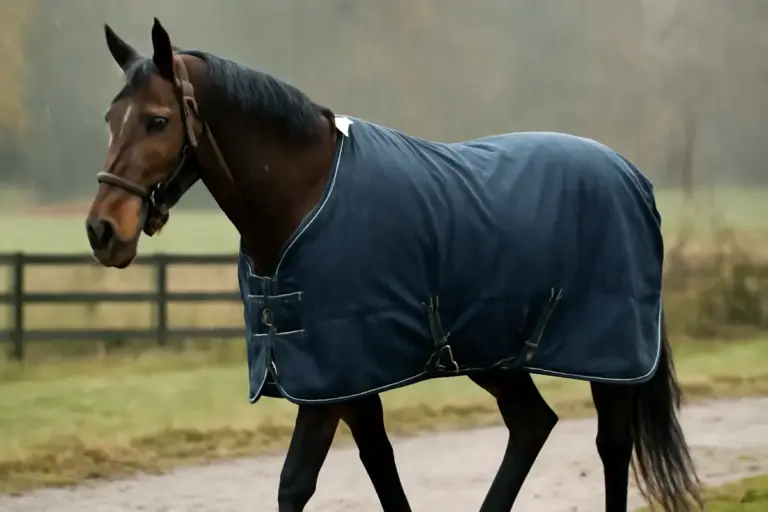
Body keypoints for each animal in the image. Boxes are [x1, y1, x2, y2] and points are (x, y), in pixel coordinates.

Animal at [85, 18, 702, 512]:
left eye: (158, 121)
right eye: (111, 119)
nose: (102, 231)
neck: (303, 198)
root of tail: (631, 176)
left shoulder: (330, 380)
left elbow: (295, 482)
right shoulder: (347, 380)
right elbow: (380, 469)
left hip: (611, 357)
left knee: (611, 445)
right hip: (494, 352)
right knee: (532, 424)